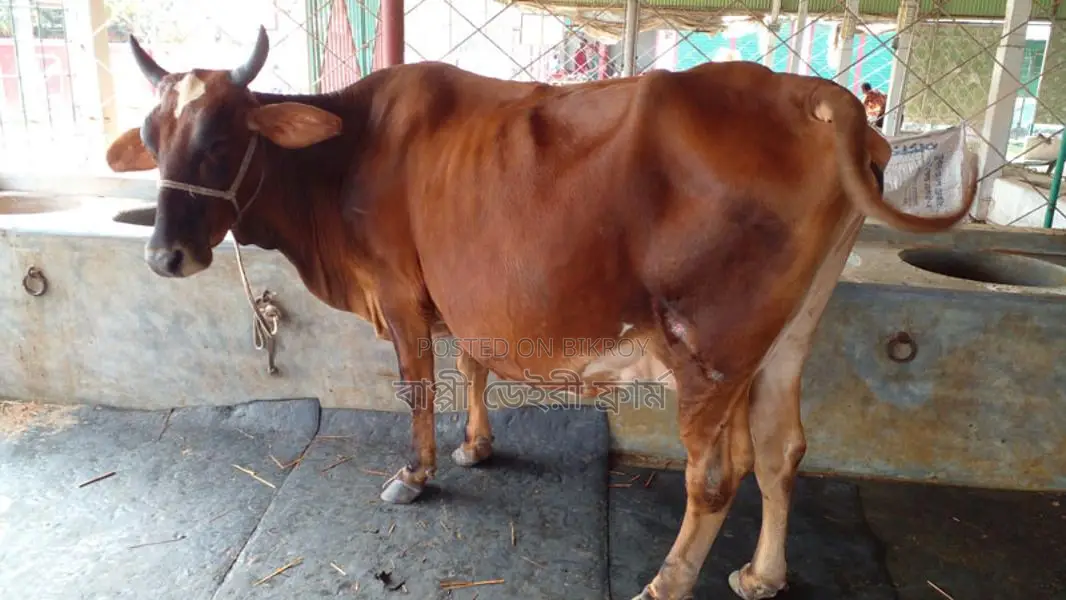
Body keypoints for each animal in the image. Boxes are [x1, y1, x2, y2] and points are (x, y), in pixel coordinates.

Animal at [104, 26, 976, 600]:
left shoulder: (397, 291)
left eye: (221, 140)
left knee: (715, 473)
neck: (340, 159)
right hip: (788, 333)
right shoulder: (458, 294)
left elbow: (419, 386)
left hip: (709, 346)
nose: (164, 256)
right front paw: (477, 446)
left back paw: (666, 583)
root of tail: (815, 94)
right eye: (152, 135)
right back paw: (762, 574)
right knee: (781, 448)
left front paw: (414, 474)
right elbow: (471, 363)